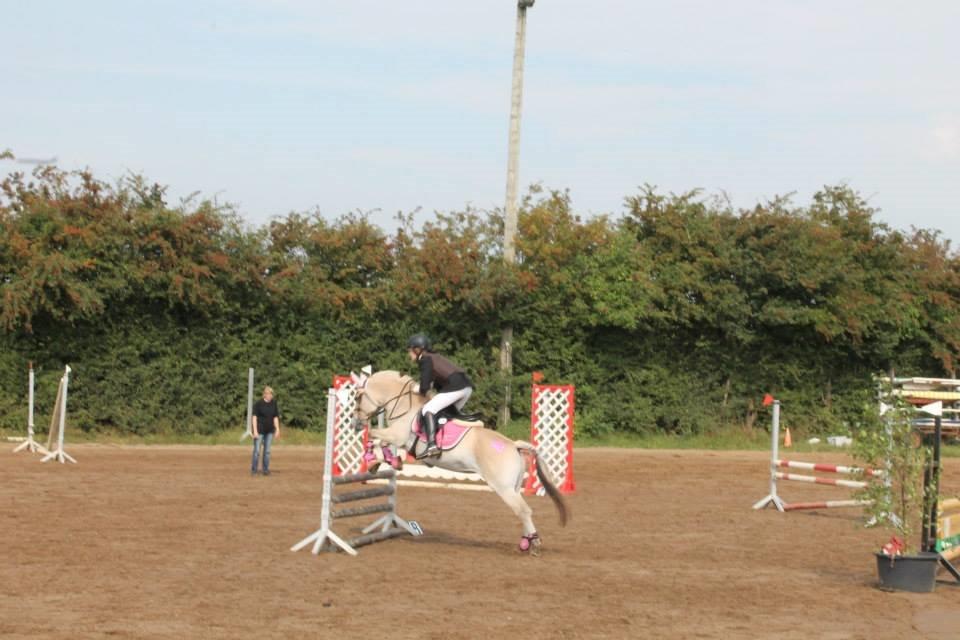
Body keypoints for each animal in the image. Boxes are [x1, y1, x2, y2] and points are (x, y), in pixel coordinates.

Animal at [344, 370, 568, 556]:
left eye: (358, 397)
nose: (355, 423)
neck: (402, 406)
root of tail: (513, 445)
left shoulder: (398, 436)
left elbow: (374, 436)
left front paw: (376, 460)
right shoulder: (398, 439)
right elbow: (380, 443)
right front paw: (384, 462)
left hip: (503, 488)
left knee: (523, 511)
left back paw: (534, 543)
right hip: (513, 487)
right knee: (522, 511)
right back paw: (525, 542)